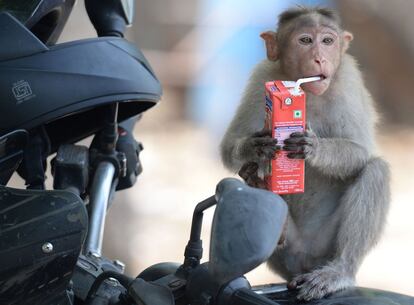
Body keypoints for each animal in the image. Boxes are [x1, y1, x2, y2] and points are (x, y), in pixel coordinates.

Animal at [220, 5, 392, 300]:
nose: (319, 58)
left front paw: (312, 147)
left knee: (375, 170)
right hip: (287, 252)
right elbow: (228, 145)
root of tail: (303, 265)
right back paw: (258, 184)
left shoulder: (348, 79)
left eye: (327, 41)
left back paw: (338, 271)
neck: (302, 91)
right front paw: (256, 148)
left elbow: (361, 150)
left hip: (325, 246)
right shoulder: (262, 78)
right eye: (305, 41)